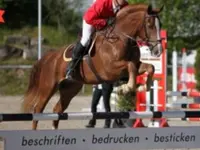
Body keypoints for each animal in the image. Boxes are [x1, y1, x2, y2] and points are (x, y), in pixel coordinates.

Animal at [21, 3, 163, 130]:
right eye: (149, 24)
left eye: (160, 25)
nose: (158, 51)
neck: (120, 38)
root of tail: (49, 57)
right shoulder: (110, 69)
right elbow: (130, 66)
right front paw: (127, 88)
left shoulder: (132, 66)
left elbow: (149, 67)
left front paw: (142, 86)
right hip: (48, 87)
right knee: (38, 109)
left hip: (70, 89)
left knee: (58, 110)